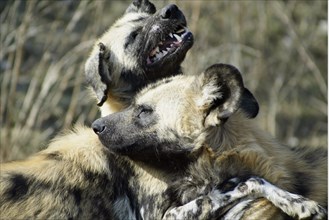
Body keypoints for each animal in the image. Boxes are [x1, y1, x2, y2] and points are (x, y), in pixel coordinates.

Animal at [91, 62, 326, 219]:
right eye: (132, 104)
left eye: (144, 111)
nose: (95, 126)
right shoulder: (170, 214)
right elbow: (249, 180)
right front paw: (299, 204)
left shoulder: (173, 213)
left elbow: (250, 179)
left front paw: (298, 203)